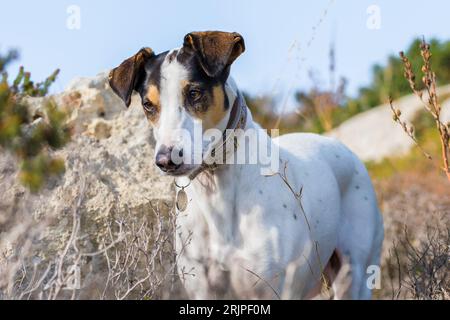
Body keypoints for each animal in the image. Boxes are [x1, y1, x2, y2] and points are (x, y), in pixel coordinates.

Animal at [108, 31, 384, 298]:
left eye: (194, 93)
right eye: (148, 105)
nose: (166, 160)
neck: (217, 190)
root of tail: (341, 147)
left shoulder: (273, 288)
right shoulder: (202, 290)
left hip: (353, 275)